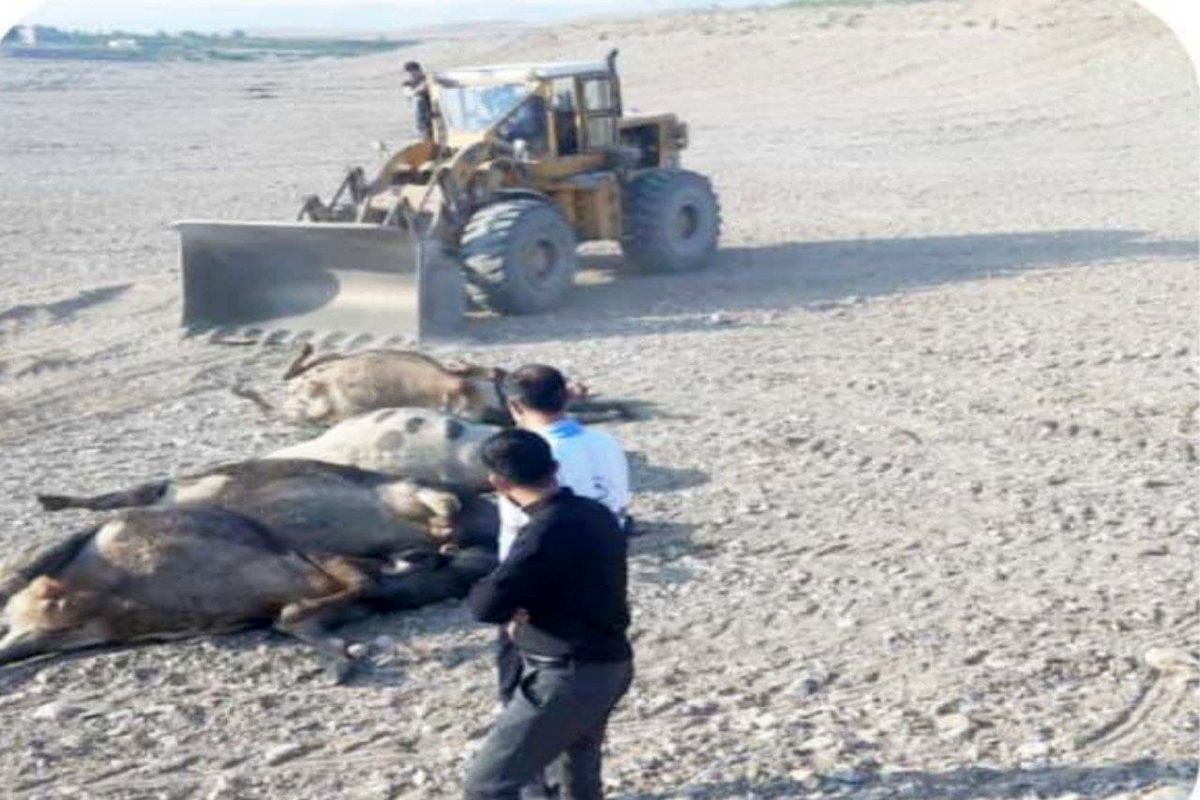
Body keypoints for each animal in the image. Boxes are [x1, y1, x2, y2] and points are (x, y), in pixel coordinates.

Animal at [0, 506, 496, 676]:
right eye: (458, 555)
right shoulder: (332, 564)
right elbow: (342, 590)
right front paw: (343, 655)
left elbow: (300, 622)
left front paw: (340, 656)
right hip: (69, 551)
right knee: (22, 574)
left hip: (61, 631)